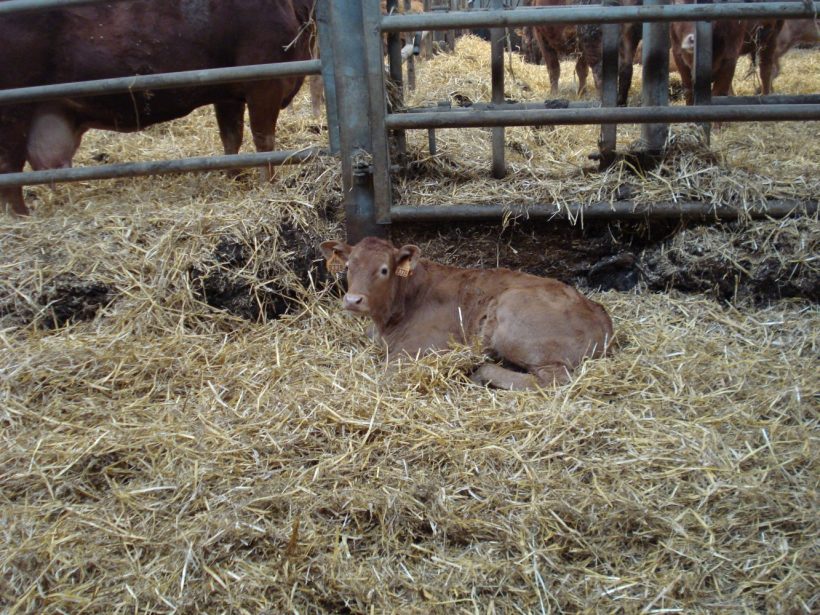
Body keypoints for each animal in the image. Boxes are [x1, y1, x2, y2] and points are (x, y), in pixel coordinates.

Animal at [0, 0, 316, 217]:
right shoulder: (264, 81)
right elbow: (264, 141)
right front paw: (269, 186)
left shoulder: (228, 91)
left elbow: (231, 138)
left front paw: (235, 177)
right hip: (13, 112)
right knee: (9, 169)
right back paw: (22, 216)